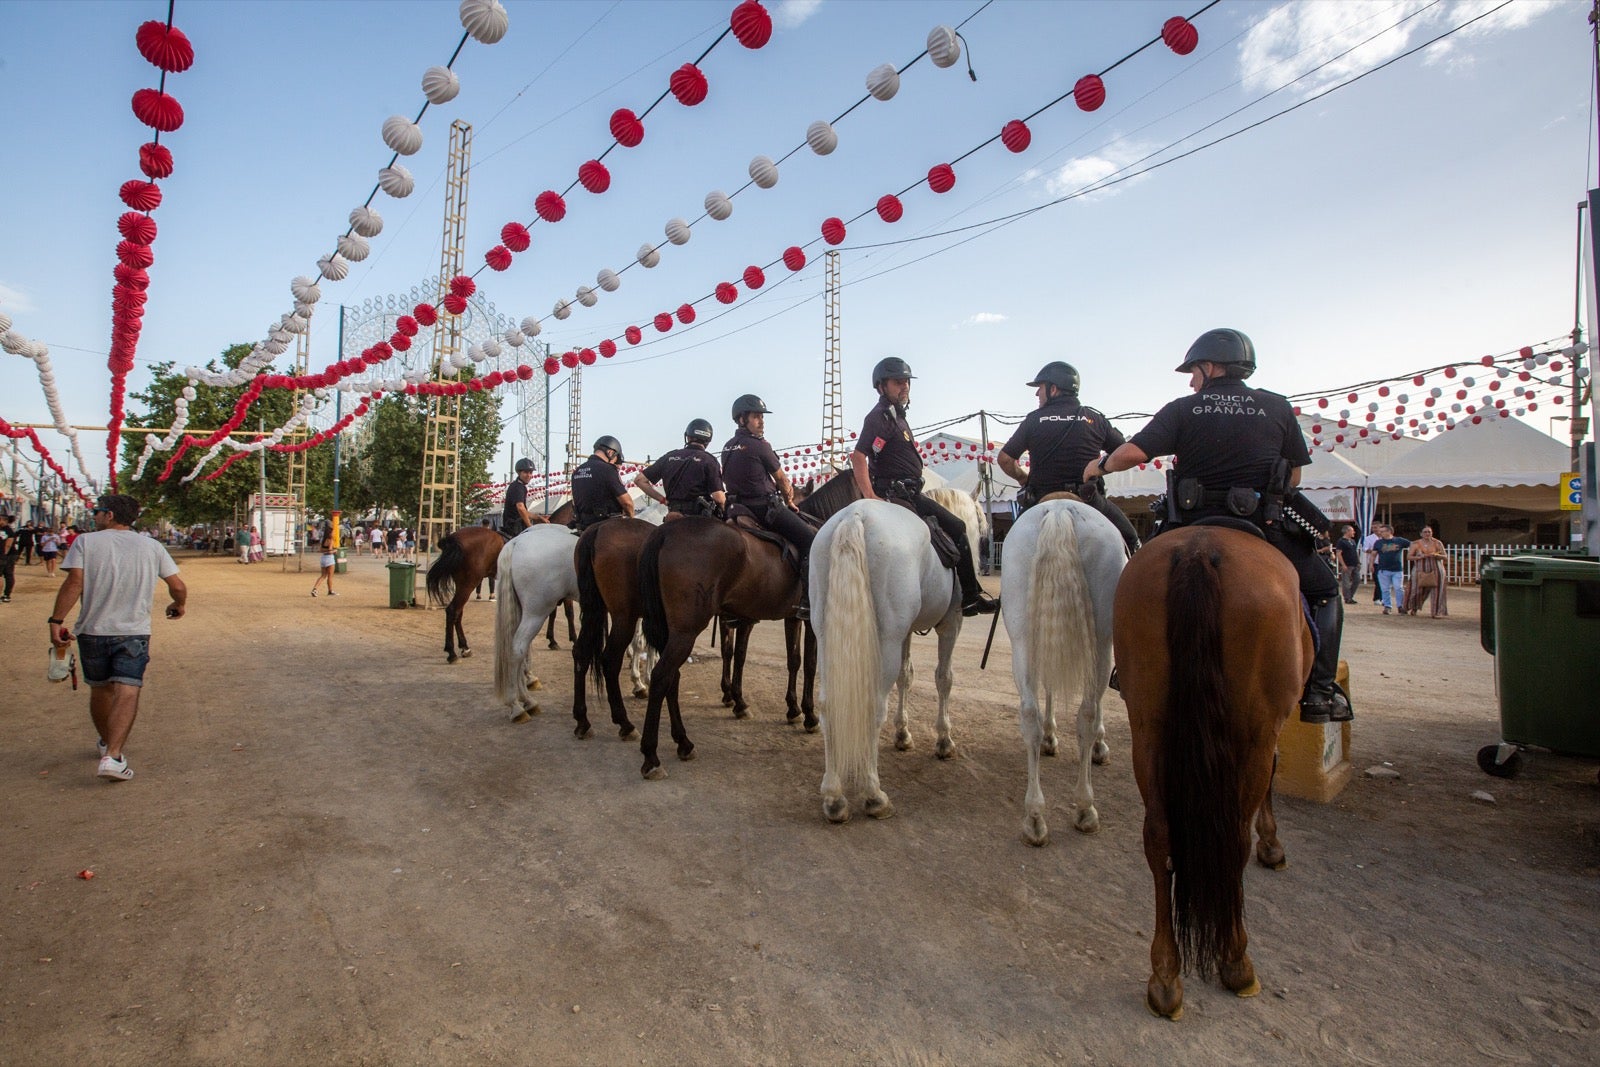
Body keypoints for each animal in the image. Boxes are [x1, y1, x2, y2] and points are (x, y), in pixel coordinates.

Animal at [425, 499, 576, 659]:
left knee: (458, 612)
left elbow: (553, 613)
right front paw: (571, 639)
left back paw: (464, 647)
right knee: (453, 610)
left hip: (462, 583)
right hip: (469, 583)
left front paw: (552, 640)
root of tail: (454, 538)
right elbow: (569, 613)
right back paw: (452, 651)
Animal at [812, 502, 972, 825]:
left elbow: (906, 676)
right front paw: (944, 740)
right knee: (874, 707)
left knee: (827, 706)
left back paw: (834, 798)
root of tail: (854, 517)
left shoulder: (906, 633)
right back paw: (874, 796)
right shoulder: (951, 623)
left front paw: (903, 734)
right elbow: (944, 678)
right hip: (887, 640)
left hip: (826, 636)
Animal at [998, 499, 1126, 844]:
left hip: (1022, 639)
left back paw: (1034, 815)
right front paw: (1099, 747)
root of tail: (1059, 510)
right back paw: (1084, 808)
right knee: (1088, 713)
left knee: (1030, 714)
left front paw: (1050, 738)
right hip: (1101, 643)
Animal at [1113, 524, 1312, 1017]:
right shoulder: (1268, 728)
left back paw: (1165, 976)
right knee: (1233, 837)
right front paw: (1272, 845)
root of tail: (1199, 550)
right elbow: (1272, 776)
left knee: (1158, 835)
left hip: (1147, 723)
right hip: (1254, 726)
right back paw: (1236, 959)